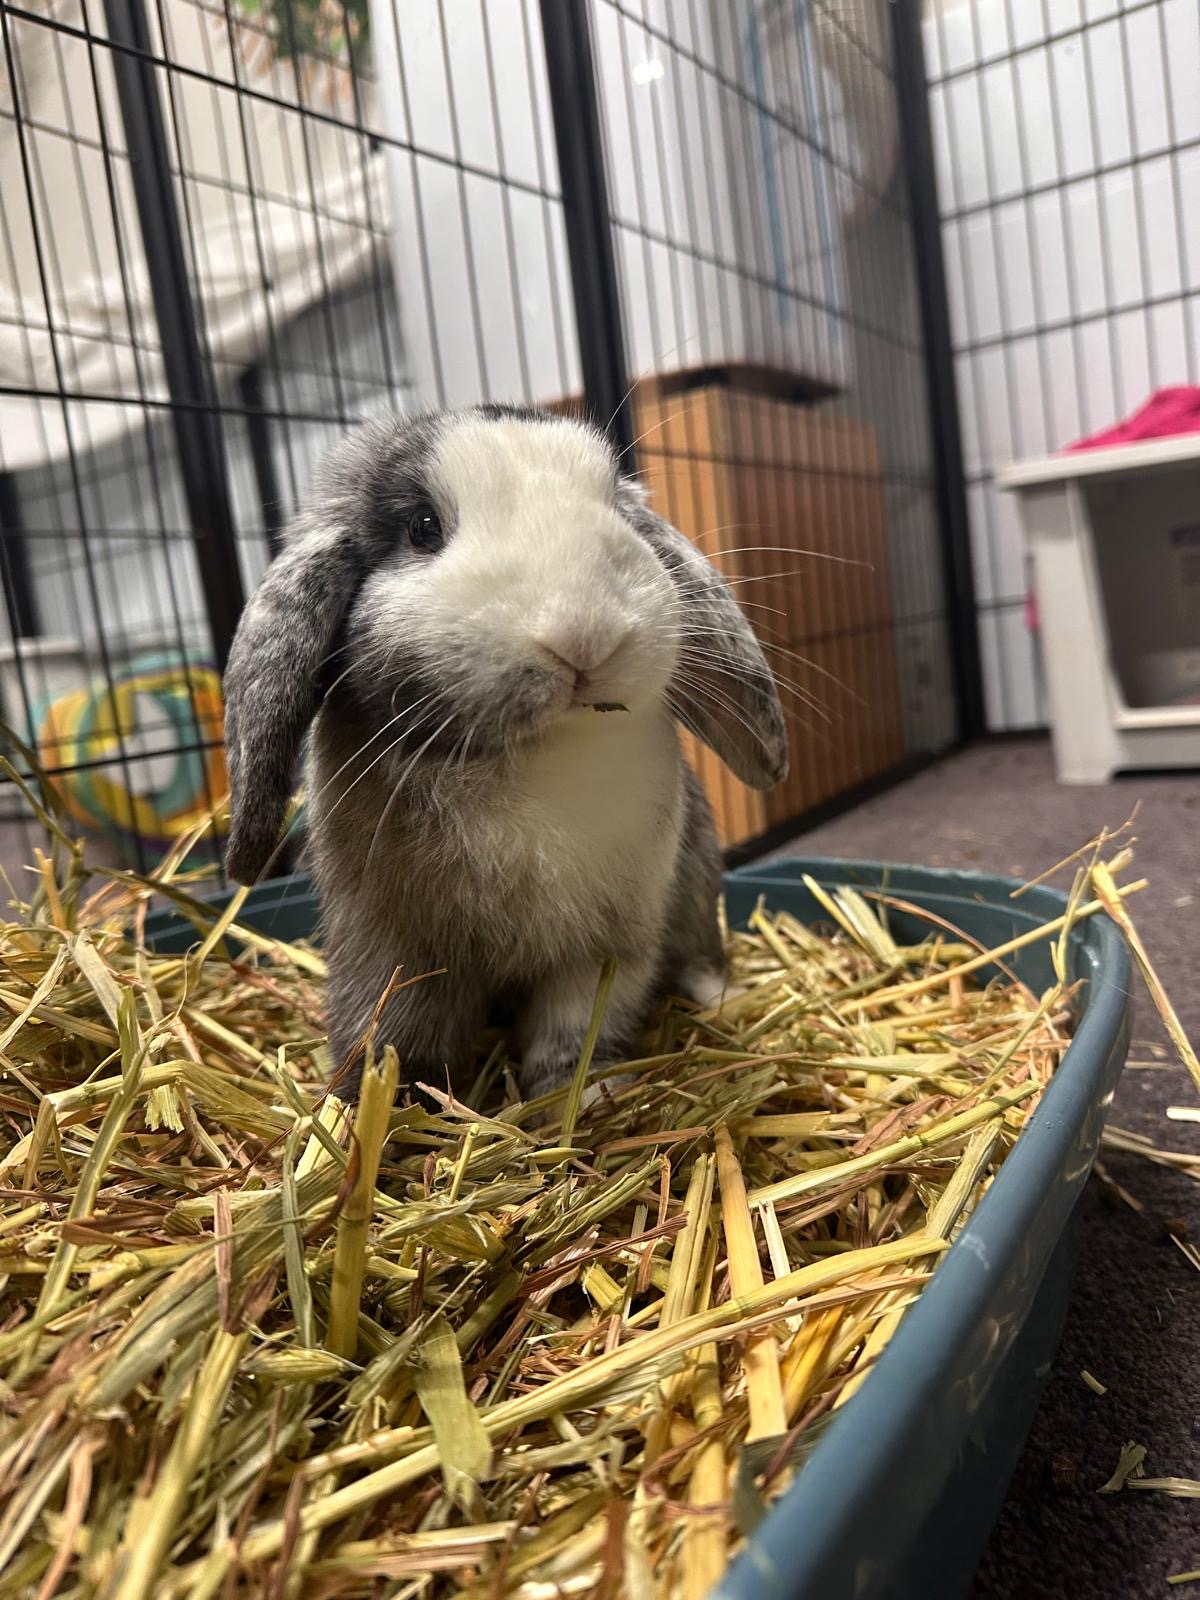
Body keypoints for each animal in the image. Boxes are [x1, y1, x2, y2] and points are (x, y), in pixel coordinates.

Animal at [222, 405, 787, 1103]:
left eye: (616, 509)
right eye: (423, 526)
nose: (584, 633)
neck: (537, 755)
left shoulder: (602, 949)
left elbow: (577, 1026)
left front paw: (578, 1095)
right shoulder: (392, 952)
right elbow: (393, 1033)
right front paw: (374, 1107)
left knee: (699, 955)